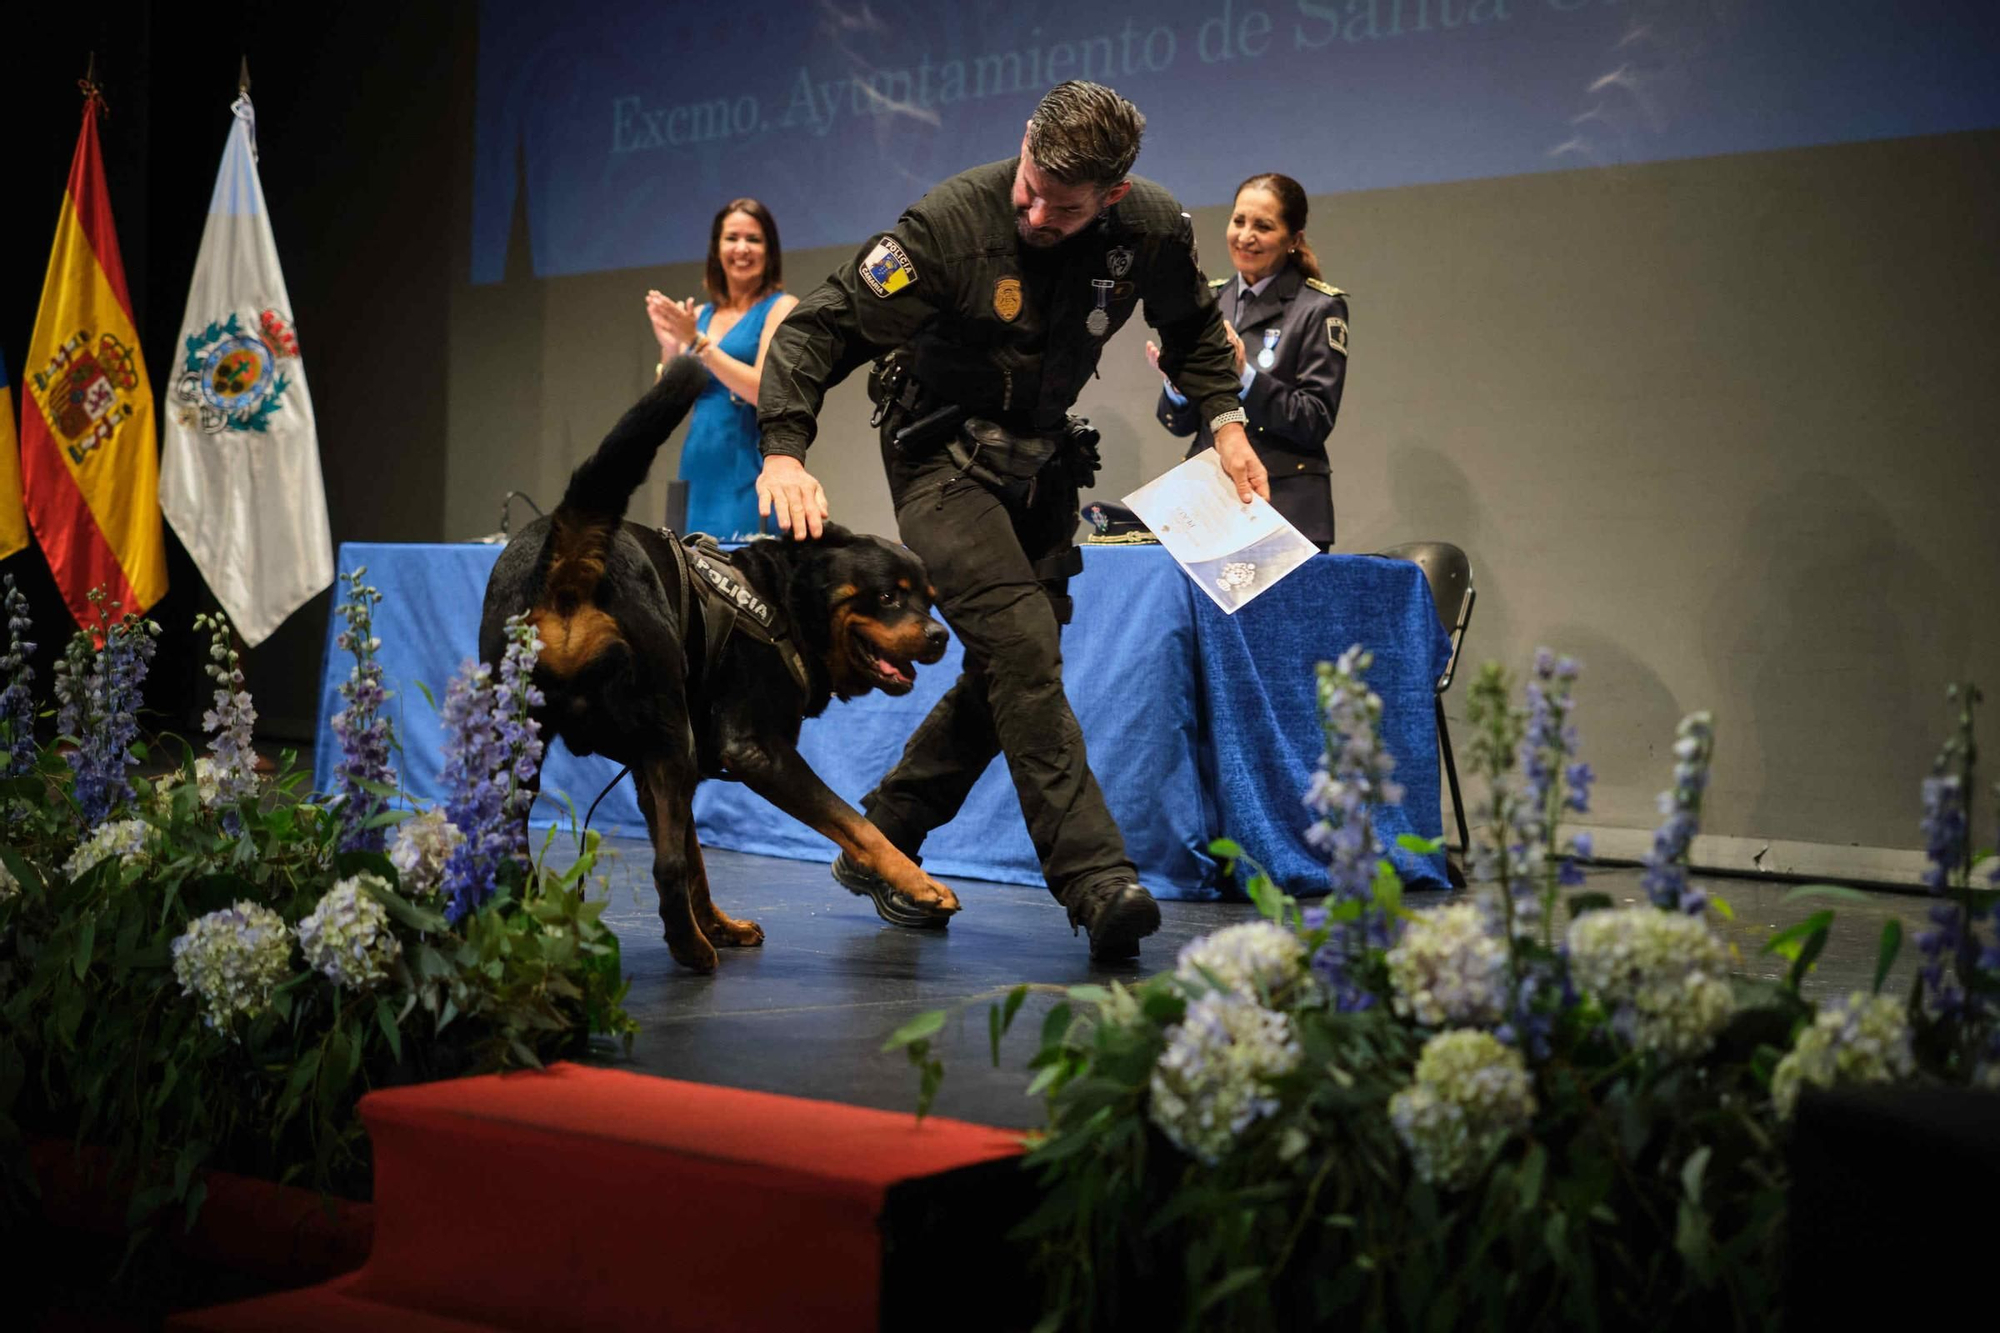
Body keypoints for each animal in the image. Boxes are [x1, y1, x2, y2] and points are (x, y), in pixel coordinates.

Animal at [476, 358, 960, 972]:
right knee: (665, 868)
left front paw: (721, 924)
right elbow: (855, 826)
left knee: (507, 848)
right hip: (670, 737)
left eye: (930, 599)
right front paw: (922, 884)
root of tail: (570, 565)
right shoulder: (756, 751)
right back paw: (690, 950)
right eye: (890, 598)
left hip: (526, 747)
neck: (784, 602)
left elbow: (697, 859)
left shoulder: (648, 772)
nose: (940, 636)